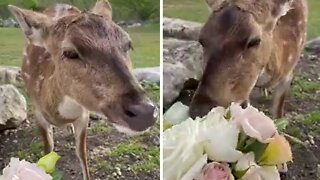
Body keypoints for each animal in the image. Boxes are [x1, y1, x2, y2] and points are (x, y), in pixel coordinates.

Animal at [7, 0, 158, 179]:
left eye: (128, 45)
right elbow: (47, 151)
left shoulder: (84, 115)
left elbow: (82, 153)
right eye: (69, 52)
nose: (145, 112)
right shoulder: (37, 112)